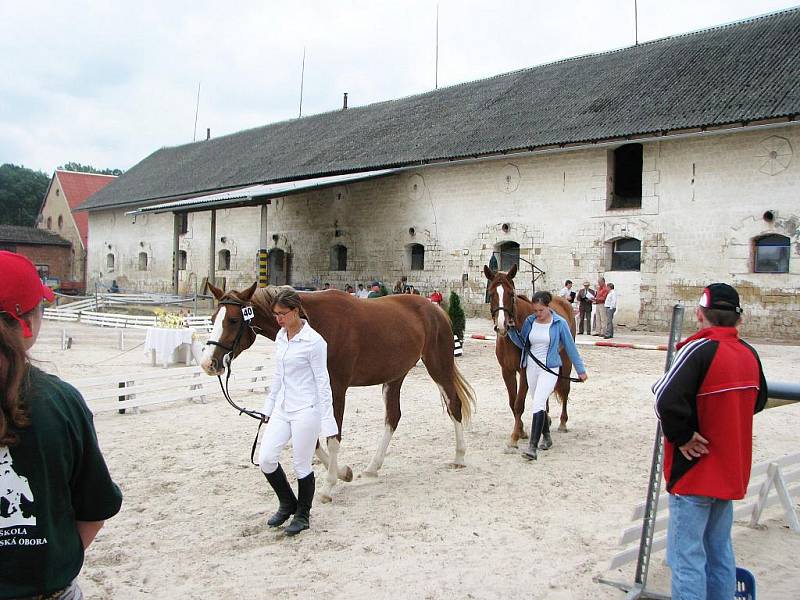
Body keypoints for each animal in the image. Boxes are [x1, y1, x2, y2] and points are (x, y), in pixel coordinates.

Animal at [200, 282, 476, 502]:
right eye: (212, 319)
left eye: (233, 320)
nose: (208, 363)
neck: (317, 323)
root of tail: (435, 309)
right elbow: (312, 440)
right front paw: (345, 472)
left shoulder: (336, 389)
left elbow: (333, 436)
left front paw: (329, 486)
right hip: (395, 376)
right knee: (393, 417)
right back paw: (373, 467)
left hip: (438, 366)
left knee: (453, 405)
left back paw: (460, 457)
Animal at [482, 264, 576, 448]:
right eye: (491, 293)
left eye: (511, 294)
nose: (502, 326)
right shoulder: (507, 371)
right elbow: (512, 402)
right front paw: (522, 431)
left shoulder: (525, 371)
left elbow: (519, 404)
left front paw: (514, 437)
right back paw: (547, 418)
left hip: (567, 361)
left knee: (565, 389)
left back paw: (563, 422)